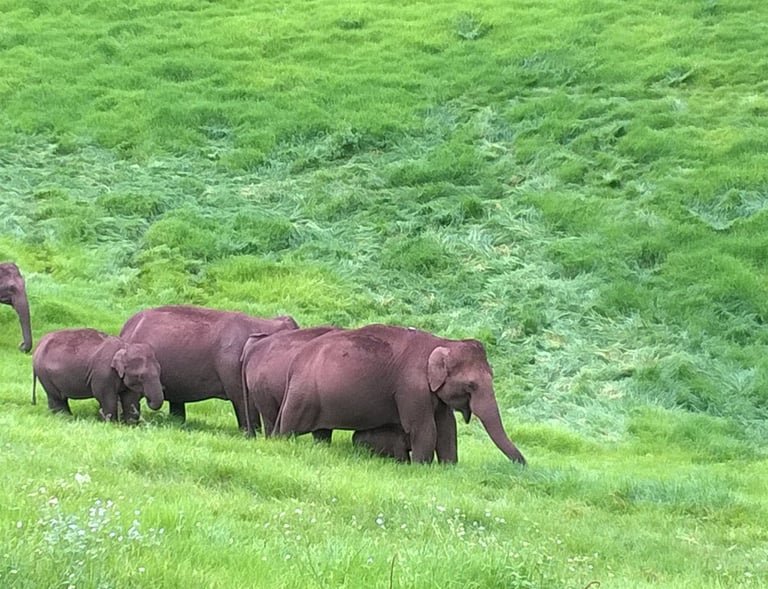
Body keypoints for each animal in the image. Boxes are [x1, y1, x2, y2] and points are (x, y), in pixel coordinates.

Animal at [32, 328, 164, 423]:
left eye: (159, 372)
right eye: (140, 376)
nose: (147, 399)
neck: (125, 346)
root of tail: (38, 345)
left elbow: (129, 398)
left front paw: (130, 425)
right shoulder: (103, 373)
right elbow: (105, 396)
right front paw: (111, 423)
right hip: (44, 374)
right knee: (57, 397)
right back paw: (64, 417)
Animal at [275, 324, 526, 465]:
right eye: (471, 385)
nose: (523, 464)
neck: (442, 342)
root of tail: (294, 363)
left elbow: (447, 427)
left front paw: (449, 467)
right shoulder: (411, 388)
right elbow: (424, 428)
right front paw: (422, 468)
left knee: (322, 433)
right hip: (303, 395)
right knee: (290, 428)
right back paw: (282, 443)